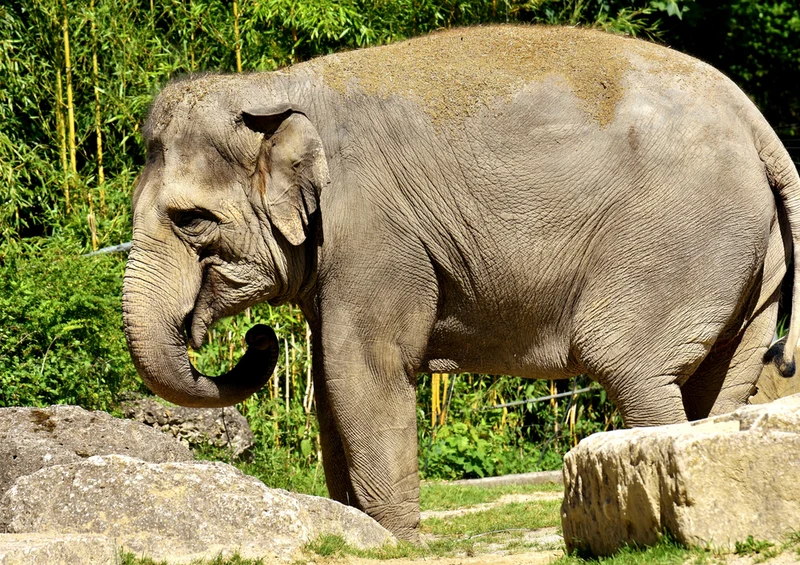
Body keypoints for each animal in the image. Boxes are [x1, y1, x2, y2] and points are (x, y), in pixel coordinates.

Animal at [122, 25, 800, 540]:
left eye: (190, 220)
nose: (259, 338)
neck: (272, 82)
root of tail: (757, 122)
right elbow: (329, 373)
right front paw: (357, 527)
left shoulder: (375, 230)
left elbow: (363, 366)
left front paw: (398, 540)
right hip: (749, 254)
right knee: (719, 381)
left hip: (680, 236)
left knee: (632, 365)